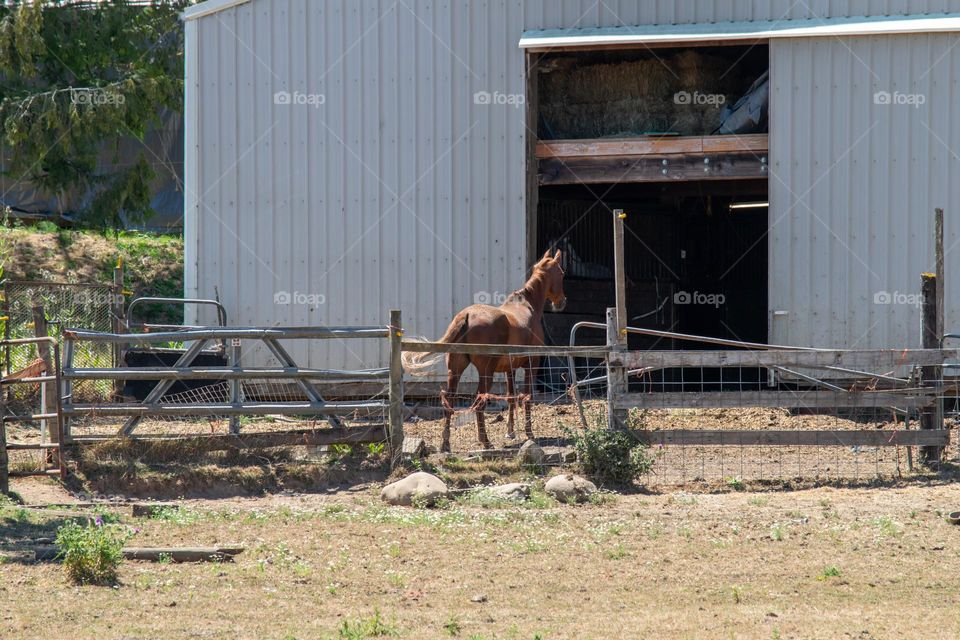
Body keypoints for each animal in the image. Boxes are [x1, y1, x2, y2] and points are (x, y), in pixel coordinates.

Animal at [402, 248, 568, 452]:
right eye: (561, 273)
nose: (561, 302)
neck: (527, 307)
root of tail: (465, 315)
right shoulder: (531, 364)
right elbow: (527, 398)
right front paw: (529, 434)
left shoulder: (509, 369)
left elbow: (511, 397)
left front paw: (511, 432)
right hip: (485, 373)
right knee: (479, 404)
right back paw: (485, 441)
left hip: (455, 371)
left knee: (449, 402)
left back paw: (446, 444)